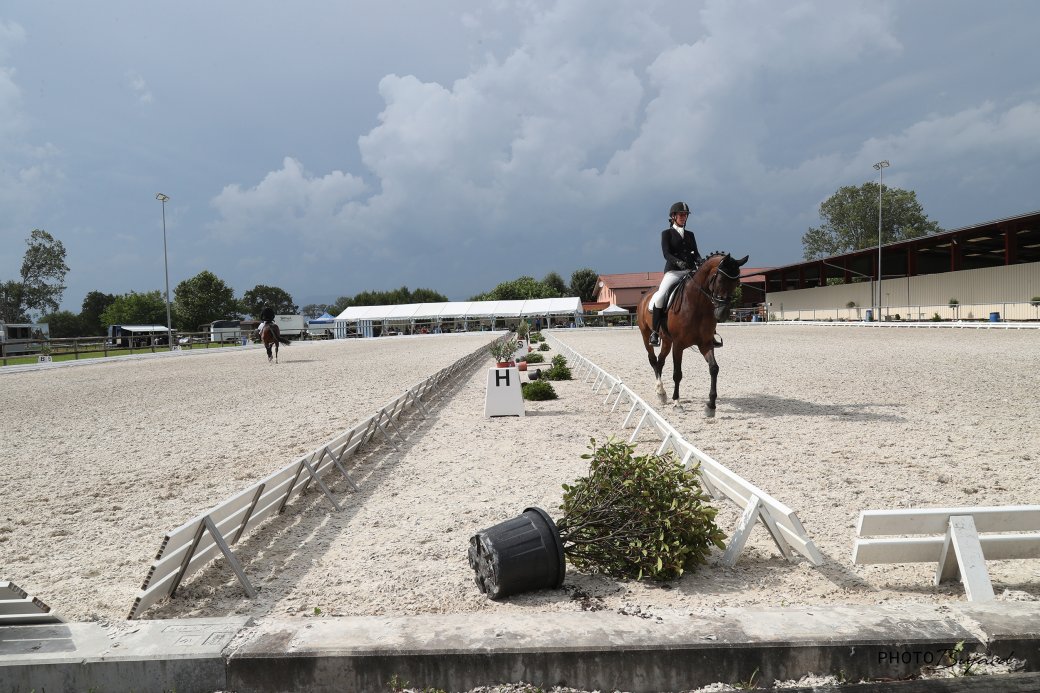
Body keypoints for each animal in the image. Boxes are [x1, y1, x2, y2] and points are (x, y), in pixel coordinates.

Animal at [632, 253, 748, 416]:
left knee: (660, 361)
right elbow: (677, 373)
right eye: (720, 280)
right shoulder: (678, 345)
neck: (697, 304)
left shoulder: (705, 343)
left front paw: (711, 406)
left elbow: (714, 368)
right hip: (646, 335)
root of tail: (646, 295)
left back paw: (662, 394)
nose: (723, 314)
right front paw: (677, 403)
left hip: (666, 341)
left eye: (737, 282)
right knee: (653, 360)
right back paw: (660, 391)